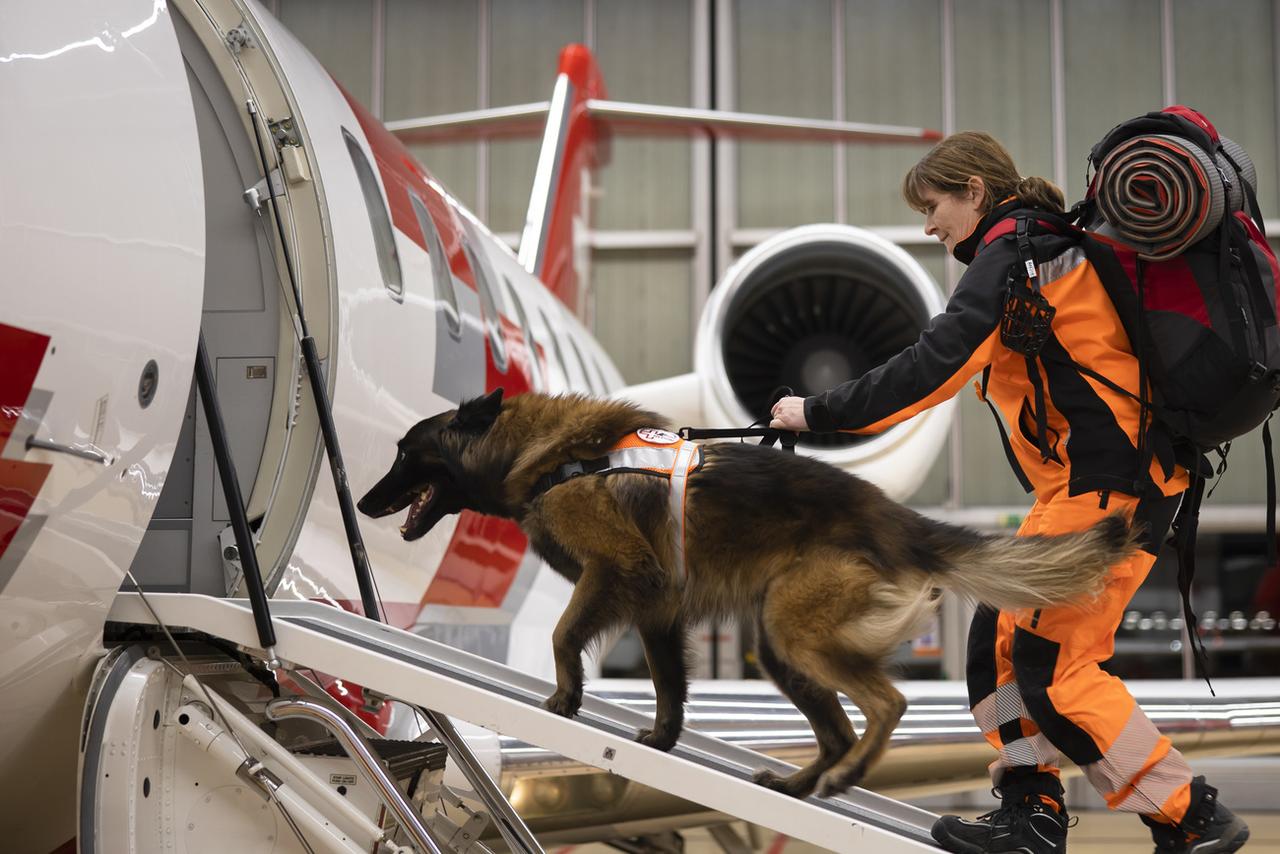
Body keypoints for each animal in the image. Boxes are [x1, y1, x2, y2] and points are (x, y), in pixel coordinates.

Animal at [358, 391, 1131, 798]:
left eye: (402, 452)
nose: (363, 503)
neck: (544, 455)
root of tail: (894, 517)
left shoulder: (615, 571)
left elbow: (562, 635)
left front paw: (564, 699)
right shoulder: (659, 608)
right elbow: (669, 684)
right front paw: (662, 740)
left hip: (794, 632)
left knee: (888, 703)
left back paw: (847, 777)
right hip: (777, 643)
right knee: (839, 724)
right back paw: (803, 783)